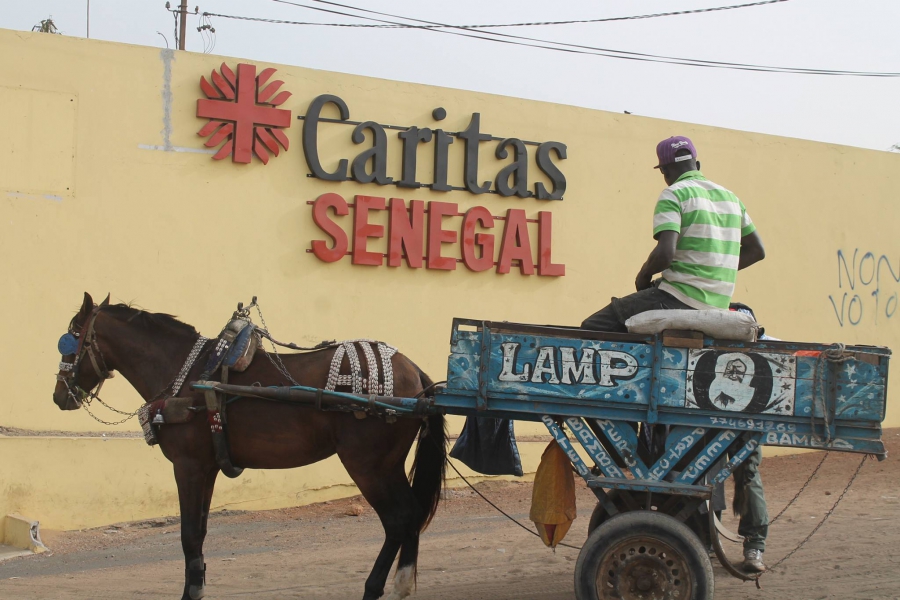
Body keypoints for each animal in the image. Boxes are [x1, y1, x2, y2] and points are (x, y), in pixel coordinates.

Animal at [52, 292, 447, 600]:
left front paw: (190, 592)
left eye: (72, 337)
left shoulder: (187, 465)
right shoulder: (208, 466)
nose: (59, 395)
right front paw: (198, 584)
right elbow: (200, 532)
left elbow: (188, 534)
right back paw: (401, 584)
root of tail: (417, 377)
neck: (185, 374)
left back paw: (376, 587)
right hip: (388, 465)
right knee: (411, 515)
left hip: (368, 465)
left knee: (398, 519)